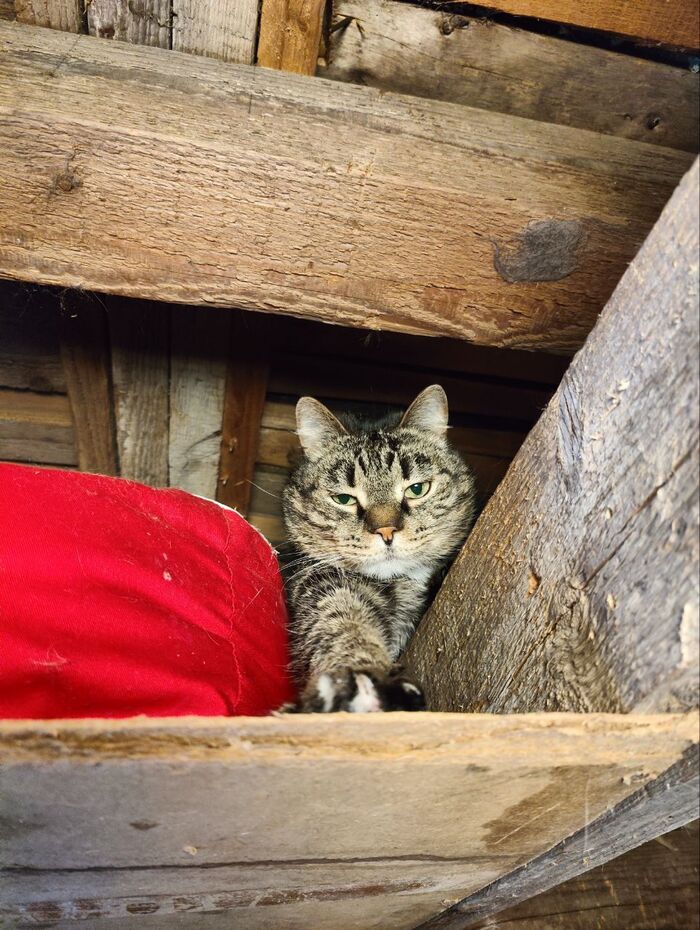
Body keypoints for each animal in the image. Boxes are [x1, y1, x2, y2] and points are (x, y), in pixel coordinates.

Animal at [282, 385, 476, 713]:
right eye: (344, 499)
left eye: (417, 489)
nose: (386, 531)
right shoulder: (321, 584)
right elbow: (341, 623)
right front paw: (362, 679)